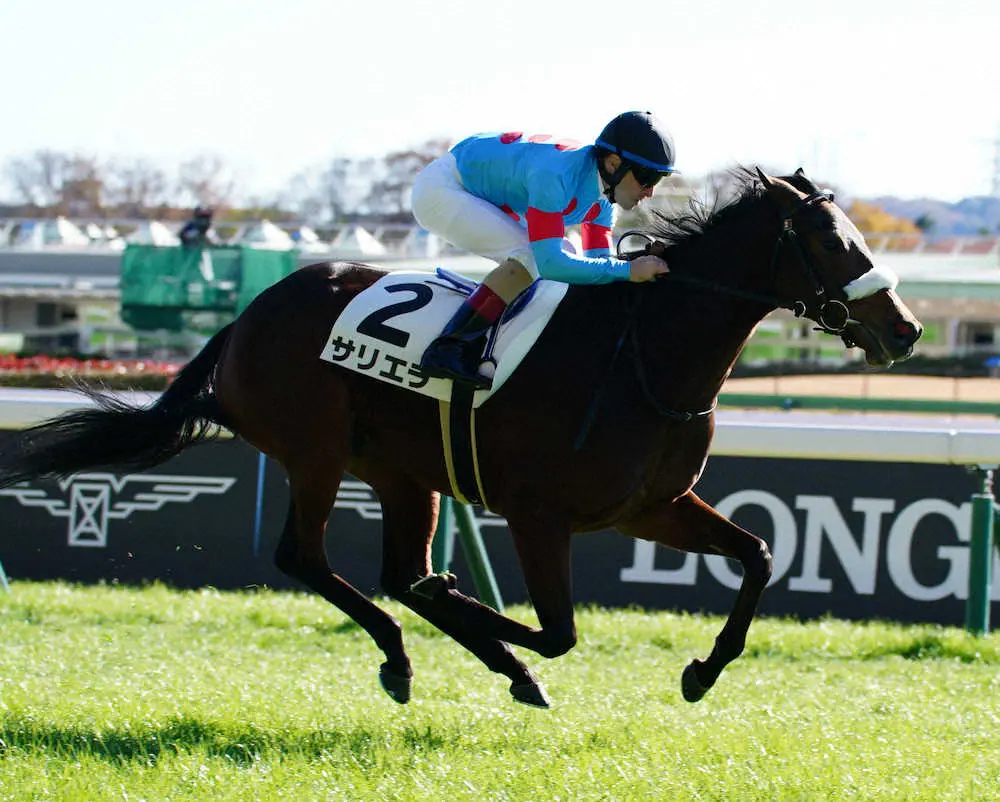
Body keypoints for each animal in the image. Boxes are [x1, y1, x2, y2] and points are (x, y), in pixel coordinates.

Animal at [0, 168, 922, 709]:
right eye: (829, 239)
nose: (905, 329)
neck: (644, 357)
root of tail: (247, 318)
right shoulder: (539, 514)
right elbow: (556, 631)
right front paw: (489, 625)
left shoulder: (649, 506)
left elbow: (759, 555)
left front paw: (701, 671)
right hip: (316, 452)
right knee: (312, 561)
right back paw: (419, 656)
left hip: (403, 471)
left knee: (394, 574)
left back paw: (440, 653)